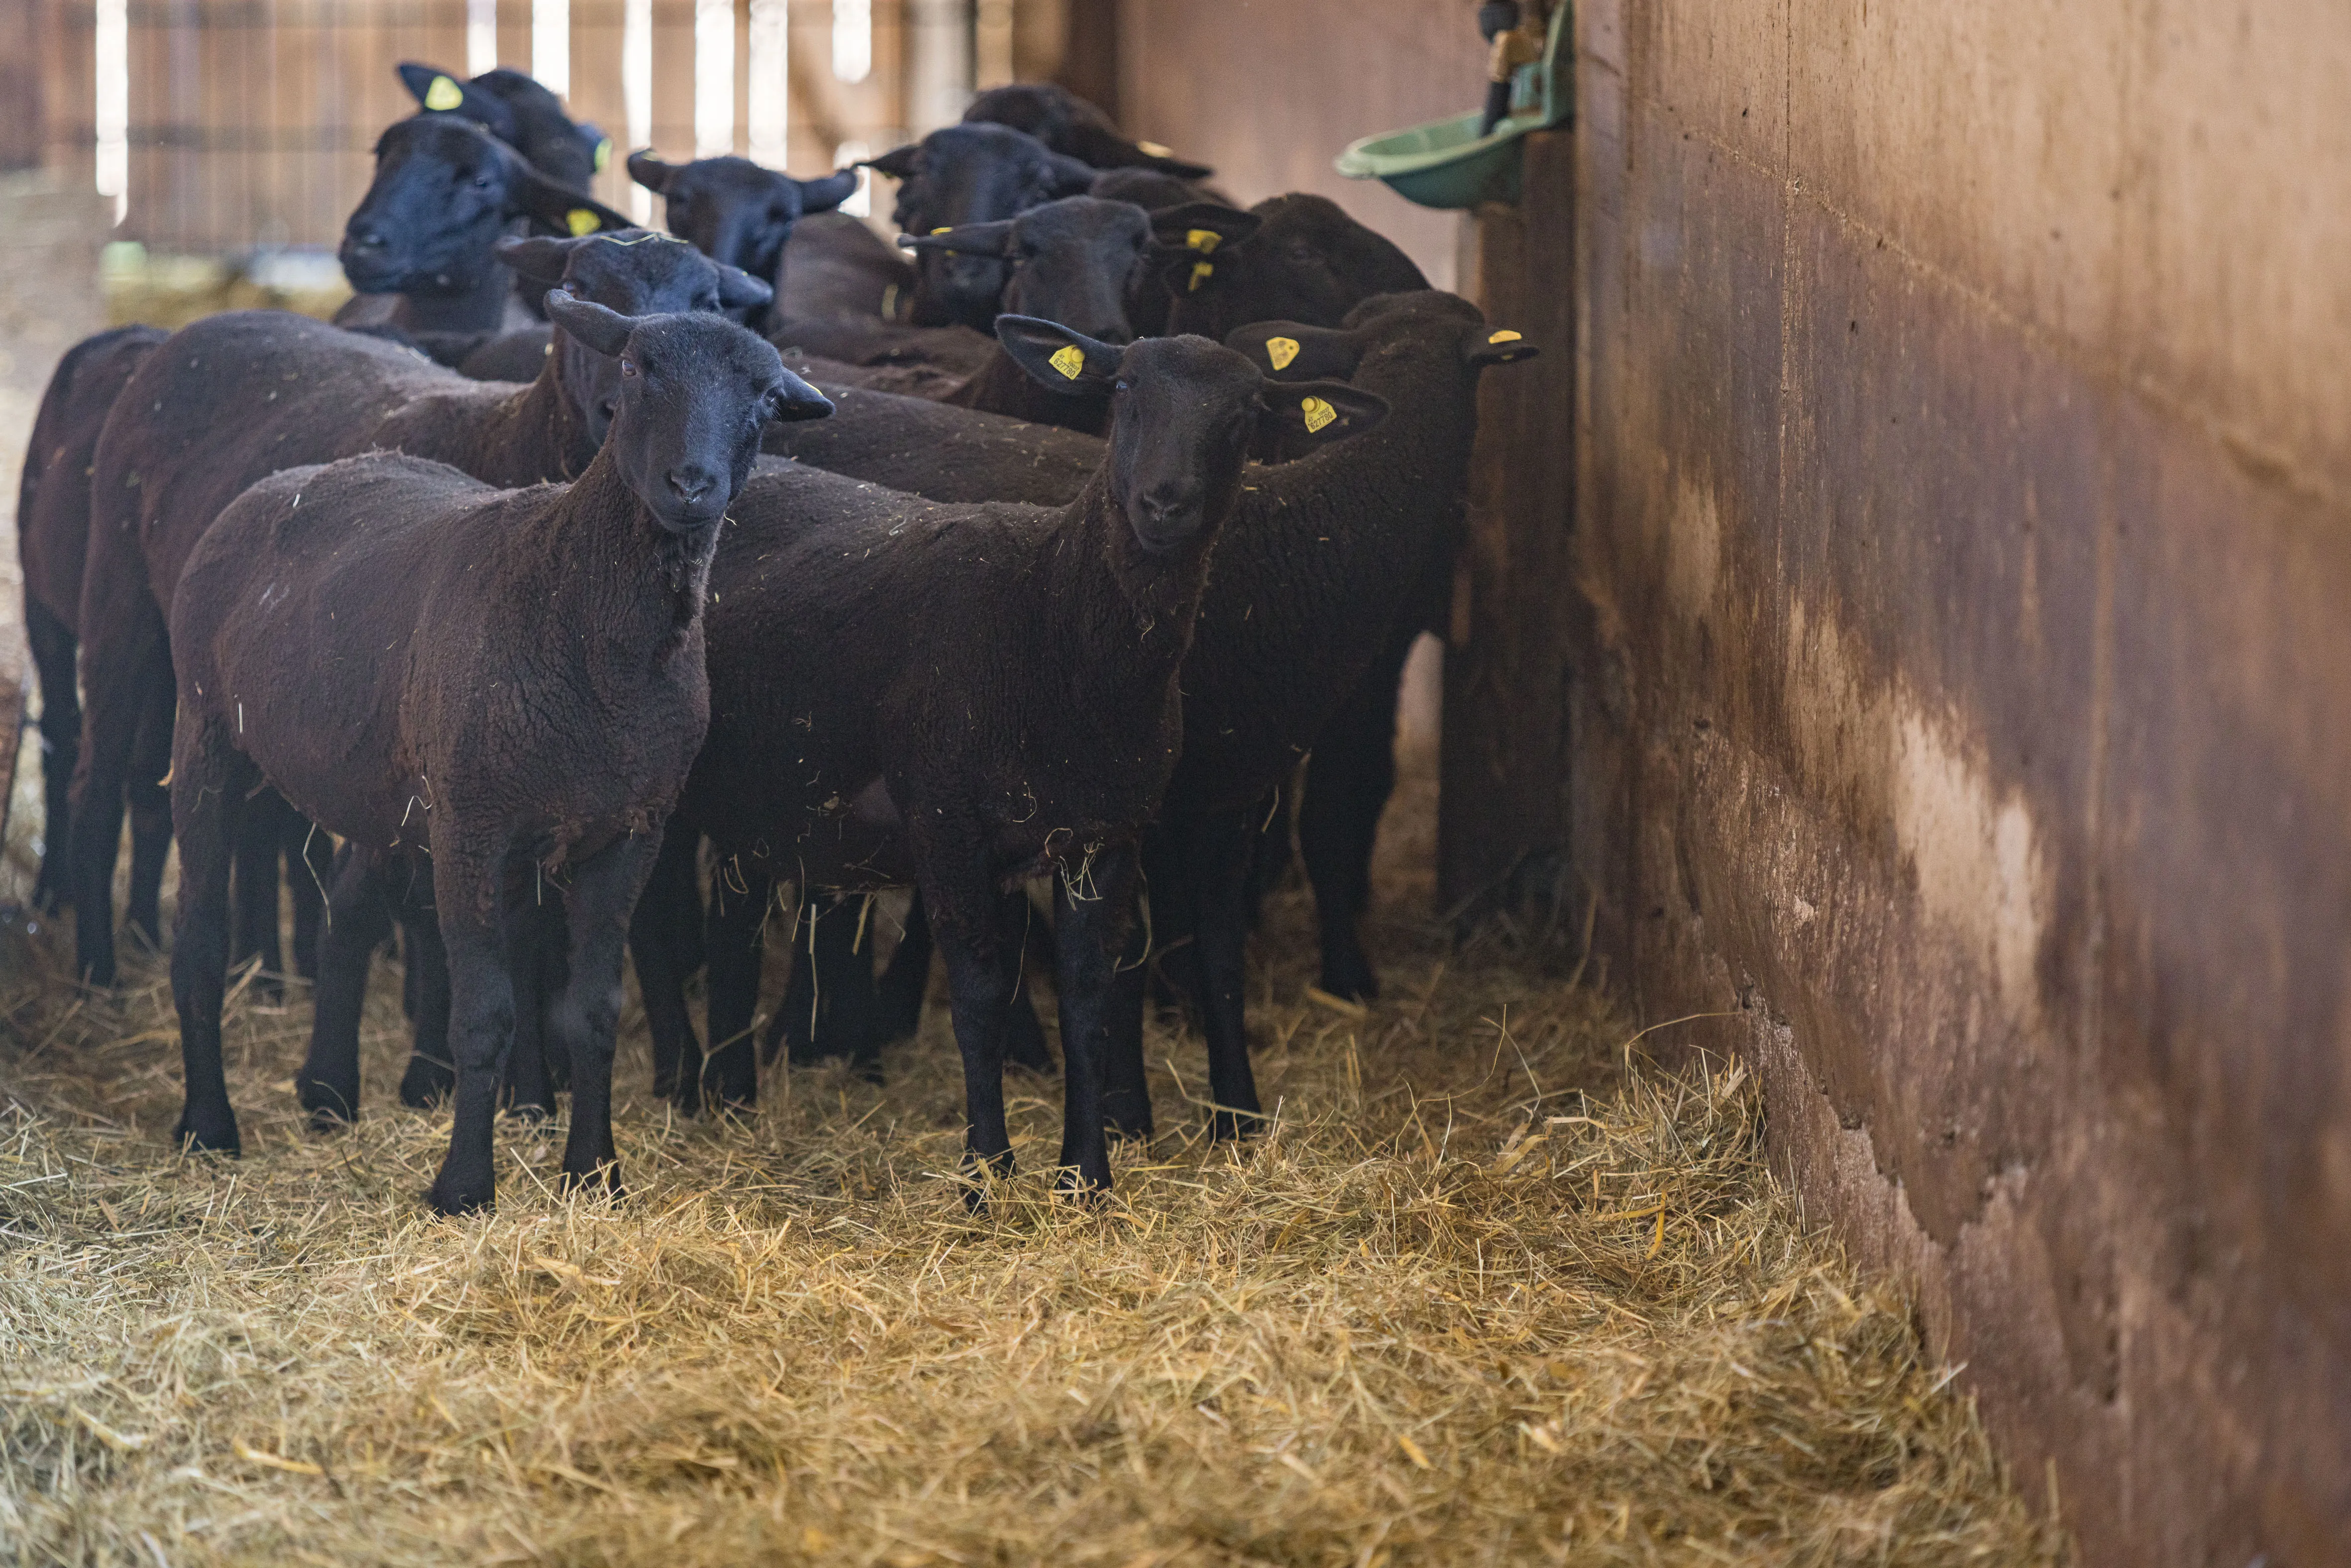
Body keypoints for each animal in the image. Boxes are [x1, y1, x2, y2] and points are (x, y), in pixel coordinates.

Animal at [67, 230, 771, 989]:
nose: (615, 411)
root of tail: (205, 325)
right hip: (120, 590)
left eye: (709, 301)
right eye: (580, 285)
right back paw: (97, 965)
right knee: (98, 780)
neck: (506, 437)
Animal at [163, 296, 829, 1215]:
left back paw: (329, 1092)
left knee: (346, 914)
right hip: (206, 730)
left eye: (765, 396)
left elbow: (590, 1011)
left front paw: (595, 1173)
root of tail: (284, 481)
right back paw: (208, 1124)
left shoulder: (631, 832)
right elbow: (483, 1013)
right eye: (635, 367)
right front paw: (463, 1186)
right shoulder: (474, 828)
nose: (692, 486)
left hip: (384, 784)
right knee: (199, 930)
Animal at [629, 317, 1385, 1199]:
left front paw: (1086, 1175)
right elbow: (982, 992)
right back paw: (684, 1084)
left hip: (759, 794)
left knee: (733, 925)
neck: (1048, 618)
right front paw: (985, 1172)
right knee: (656, 920)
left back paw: (733, 1095)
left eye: (1248, 412)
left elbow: (1090, 996)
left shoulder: (1107, 835)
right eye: (1124, 388)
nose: (1166, 502)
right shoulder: (947, 822)